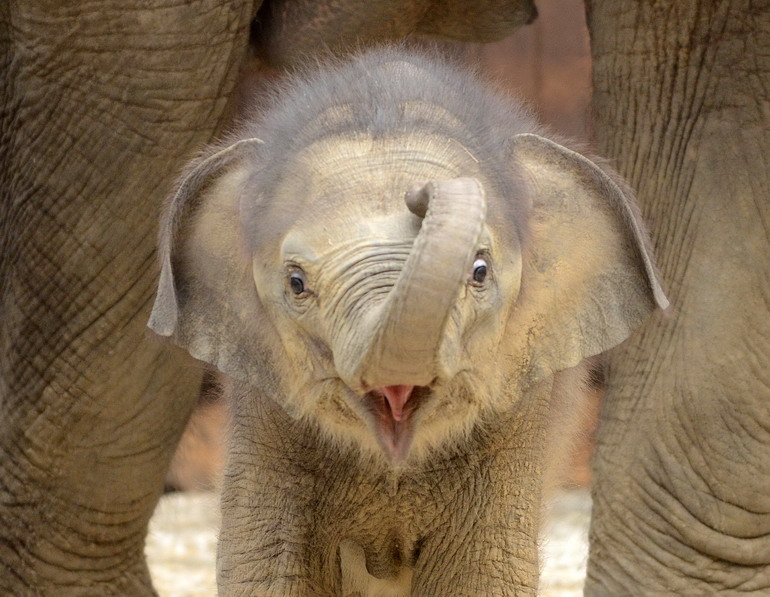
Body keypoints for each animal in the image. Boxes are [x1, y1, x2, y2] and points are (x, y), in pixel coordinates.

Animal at [150, 47, 664, 596]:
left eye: (479, 271)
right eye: (296, 283)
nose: (422, 195)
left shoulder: (519, 408)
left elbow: (480, 574)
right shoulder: (265, 414)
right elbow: (267, 567)